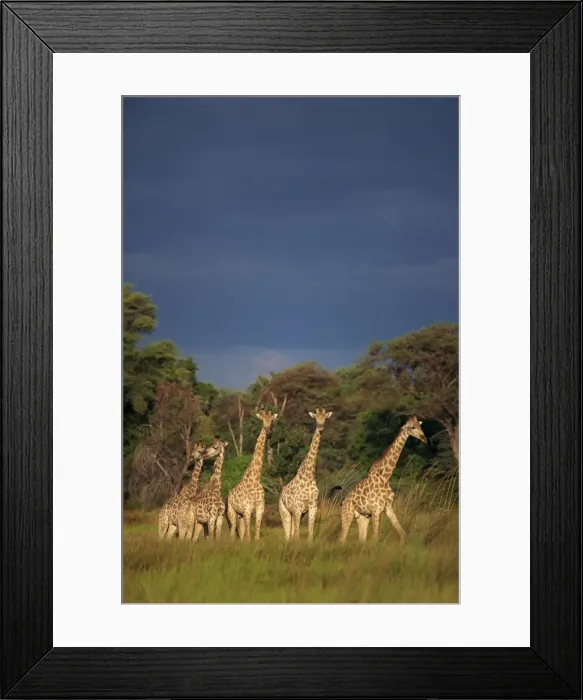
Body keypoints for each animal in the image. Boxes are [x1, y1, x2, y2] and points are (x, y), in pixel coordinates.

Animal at [226, 409, 278, 541]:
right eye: (262, 420)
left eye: (272, 420)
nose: (269, 433)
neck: (256, 478)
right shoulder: (247, 508)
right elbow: (248, 536)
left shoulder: (260, 508)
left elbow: (256, 534)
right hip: (231, 512)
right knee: (233, 531)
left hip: (240, 515)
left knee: (241, 531)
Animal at [279, 408, 333, 541]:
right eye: (316, 418)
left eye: (325, 417)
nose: (321, 427)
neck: (309, 475)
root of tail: (281, 494)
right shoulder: (297, 507)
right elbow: (297, 534)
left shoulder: (312, 506)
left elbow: (310, 532)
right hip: (285, 512)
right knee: (287, 534)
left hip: (298, 513)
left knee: (292, 533)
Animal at [339, 416, 427, 544]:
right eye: (412, 427)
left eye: (420, 426)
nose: (424, 438)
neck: (385, 477)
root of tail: (343, 502)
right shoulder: (376, 510)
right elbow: (376, 538)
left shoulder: (388, 507)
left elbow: (403, 533)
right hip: (347, 515)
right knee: (342, 539)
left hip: (363, 517)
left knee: (361, 539)